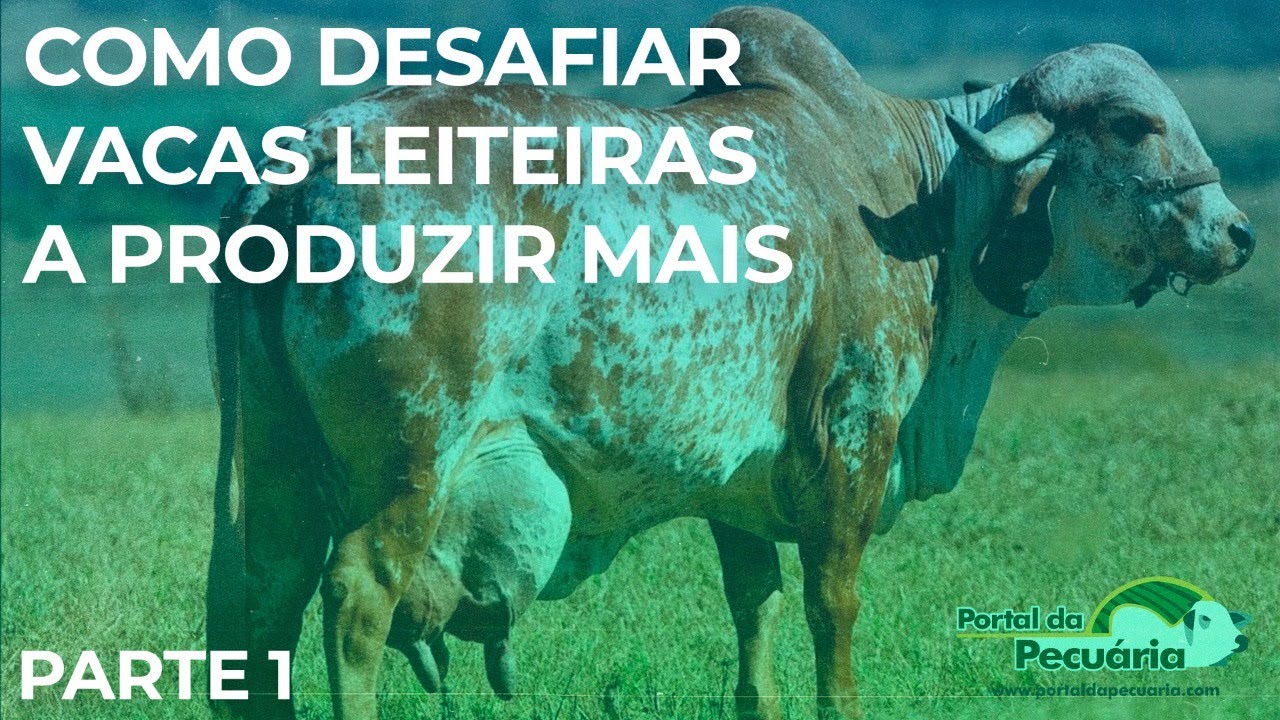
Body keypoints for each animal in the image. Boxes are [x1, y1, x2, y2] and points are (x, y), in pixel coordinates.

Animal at [205, 7, 1256, 720]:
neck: (920, 196)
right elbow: (833, 604)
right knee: (354, 598)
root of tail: (306, 156)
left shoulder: (737, 481)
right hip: (411, 463)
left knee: (259, 595)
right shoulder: (853, 439)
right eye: (1133, 126)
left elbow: (755, 605)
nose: (1238, 233)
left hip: (276, 462)